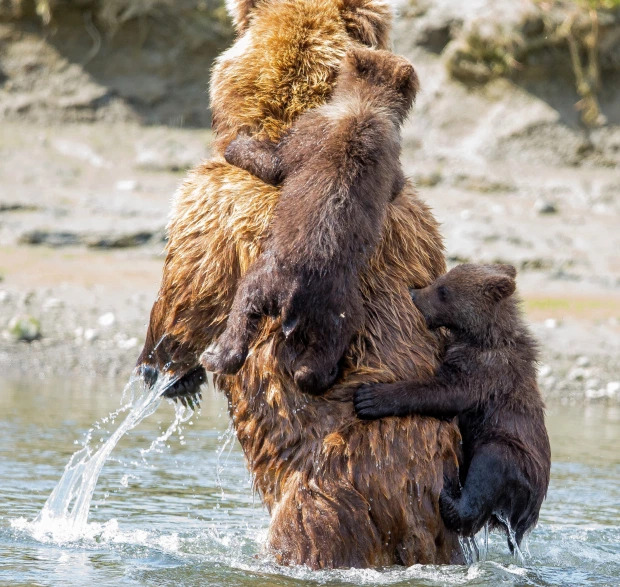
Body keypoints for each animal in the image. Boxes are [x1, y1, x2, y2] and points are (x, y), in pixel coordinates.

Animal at [138, 0, 462, 568]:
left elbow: (189, 283)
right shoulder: (419, 225)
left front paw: (168, 370)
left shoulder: (215, 201)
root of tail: (412, 508)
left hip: (325, 487)